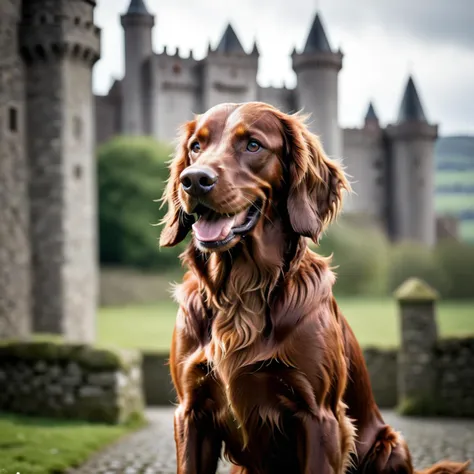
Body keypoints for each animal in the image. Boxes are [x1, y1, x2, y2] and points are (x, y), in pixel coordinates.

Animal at [159, 103, 470, 474]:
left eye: (253, 145)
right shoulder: (191, 412)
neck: (241, 290)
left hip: (390, 445)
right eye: (196, 146)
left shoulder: (319, 415)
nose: (193, 180)